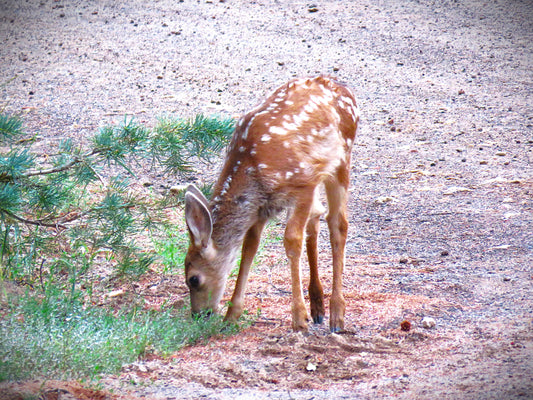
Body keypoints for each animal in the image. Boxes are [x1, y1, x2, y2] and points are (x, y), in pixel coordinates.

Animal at [182, 75, 358, 332]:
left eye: (193, 279)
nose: (198, 314)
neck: (252, 169)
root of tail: (342, 86)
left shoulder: (302, 184)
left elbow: (292, 240)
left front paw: (298, 320)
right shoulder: (260, 208)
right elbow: (249, 248)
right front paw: (231, 315)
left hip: (342, 157)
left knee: (337, 224)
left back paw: (337, 315)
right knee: (317, 216)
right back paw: (317, 307)